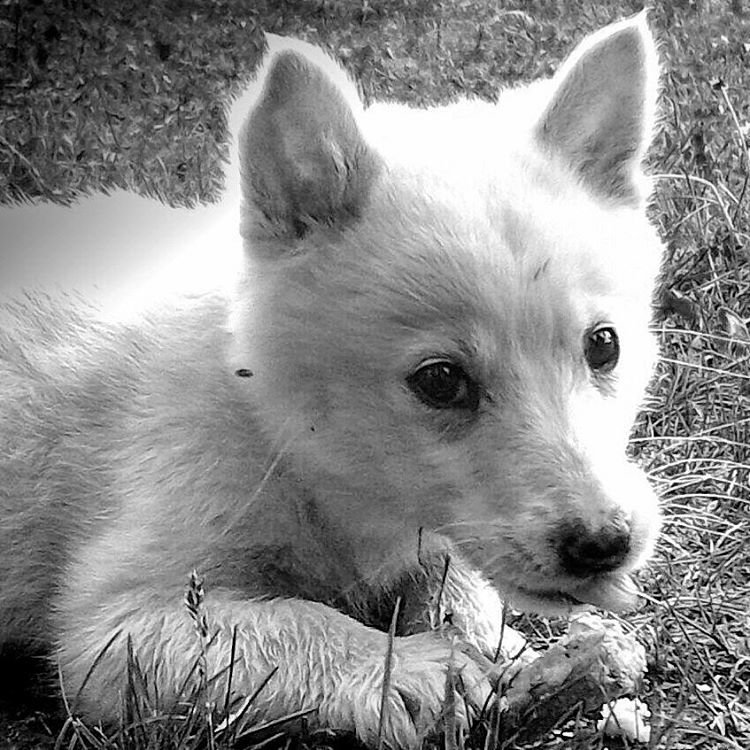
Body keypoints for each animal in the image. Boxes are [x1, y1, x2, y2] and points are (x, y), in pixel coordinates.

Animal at [0, 14, 663, 749]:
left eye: (603, 346)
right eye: (440, 381)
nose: (605, 546)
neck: (274, 424)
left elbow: (452, 585)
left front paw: (506, 652)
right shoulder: (117, 624)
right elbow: (291, 623)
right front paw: (413, 671)